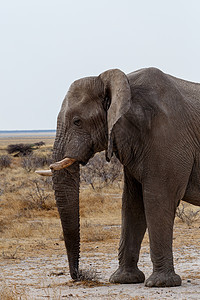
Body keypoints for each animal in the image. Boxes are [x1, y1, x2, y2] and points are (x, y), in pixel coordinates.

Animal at [36, 67, 200, 288]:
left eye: (77, 121)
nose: (78, 275)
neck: (125, 86)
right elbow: (132, 204)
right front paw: (124, 279)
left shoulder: (168, 138)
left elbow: (158, 200)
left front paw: (161, 283)